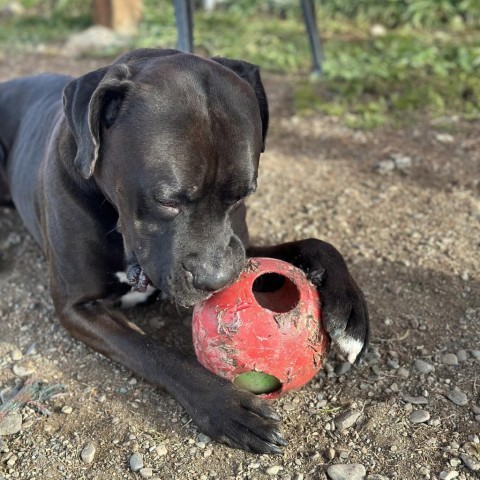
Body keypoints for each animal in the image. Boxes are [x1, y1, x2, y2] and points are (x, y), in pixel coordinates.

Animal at [0, 48, 368, 454]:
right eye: (166, 200)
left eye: (243, 195)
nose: (217, 279)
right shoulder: (76, 307)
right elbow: (153, 351)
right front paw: (224, 403)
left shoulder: (241, 248)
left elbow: (318, 244)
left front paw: (350, 314)